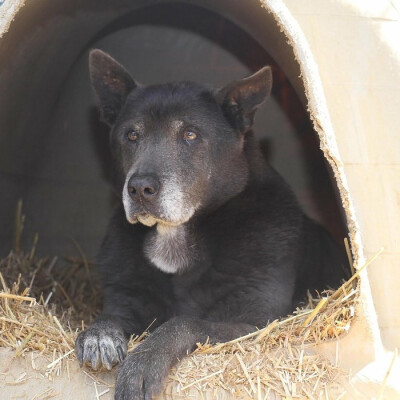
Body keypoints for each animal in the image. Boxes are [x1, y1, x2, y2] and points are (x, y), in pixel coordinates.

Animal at [75, 50, 346, 400]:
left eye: (190, 135)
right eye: (132, 135)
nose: (139, 188)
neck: (177, 233)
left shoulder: (251, 321)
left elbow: (183, 323)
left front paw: (142, 364)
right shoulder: (127, 298)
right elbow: (109, 316)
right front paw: (100, 335)